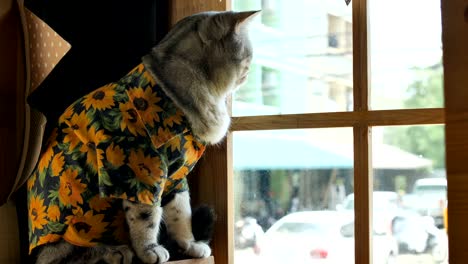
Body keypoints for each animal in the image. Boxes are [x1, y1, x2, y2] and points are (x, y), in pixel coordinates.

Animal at [28, 9, 260, 262]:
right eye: (248, 56)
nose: (249, 73)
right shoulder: (140, 174)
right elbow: (146, 218)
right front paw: (149, 250)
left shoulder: (175, 179)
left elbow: (181, 214)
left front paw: (189, 244)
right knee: (69, 255)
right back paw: (114, 251)